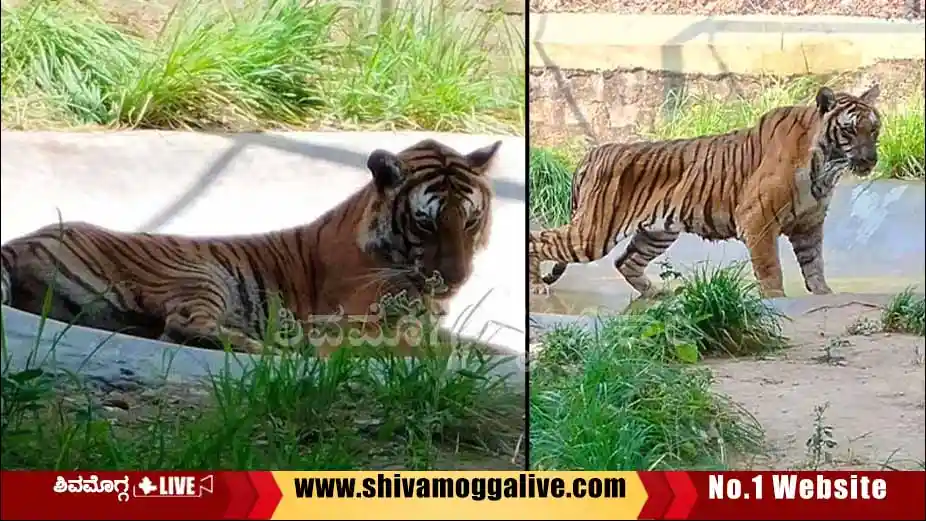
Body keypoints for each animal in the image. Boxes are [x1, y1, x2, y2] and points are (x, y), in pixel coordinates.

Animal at [1, 138, 502, 354]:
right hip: (202, 275)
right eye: (425, 222)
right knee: (183, 326)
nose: (457, 278)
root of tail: (22, 239)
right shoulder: (370, 318)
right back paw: (278, 347)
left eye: (470, 220)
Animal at [529, 85, 882, 299]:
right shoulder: (758, 219)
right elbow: (770, 268)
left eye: (874, 129)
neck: (826, 165)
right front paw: (775, 299)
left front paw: (824, 294)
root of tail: (592, 153)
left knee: (626, 262)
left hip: (657, 232)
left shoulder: (809, 225)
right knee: (537, 239)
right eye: (850, 130)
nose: (871, 159)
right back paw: (535, 287)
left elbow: (814, 265)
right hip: (593, 233)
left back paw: (656, 294)